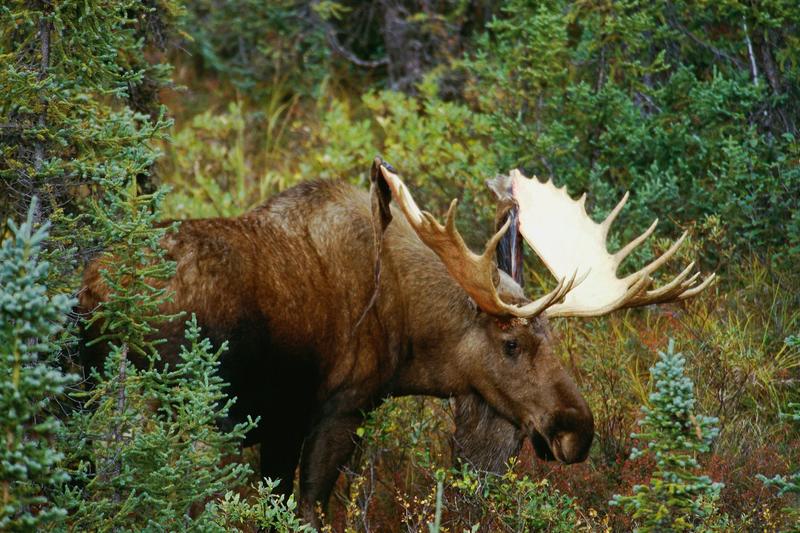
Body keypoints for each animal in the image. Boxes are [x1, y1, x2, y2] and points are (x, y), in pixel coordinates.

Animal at [79, 158, 714, 527]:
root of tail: (95, 290)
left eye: (555, 340)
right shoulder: (339, 410)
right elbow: (307, 511)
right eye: (511, 344)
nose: (575, 431)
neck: (410, 336)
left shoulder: (280, 425)